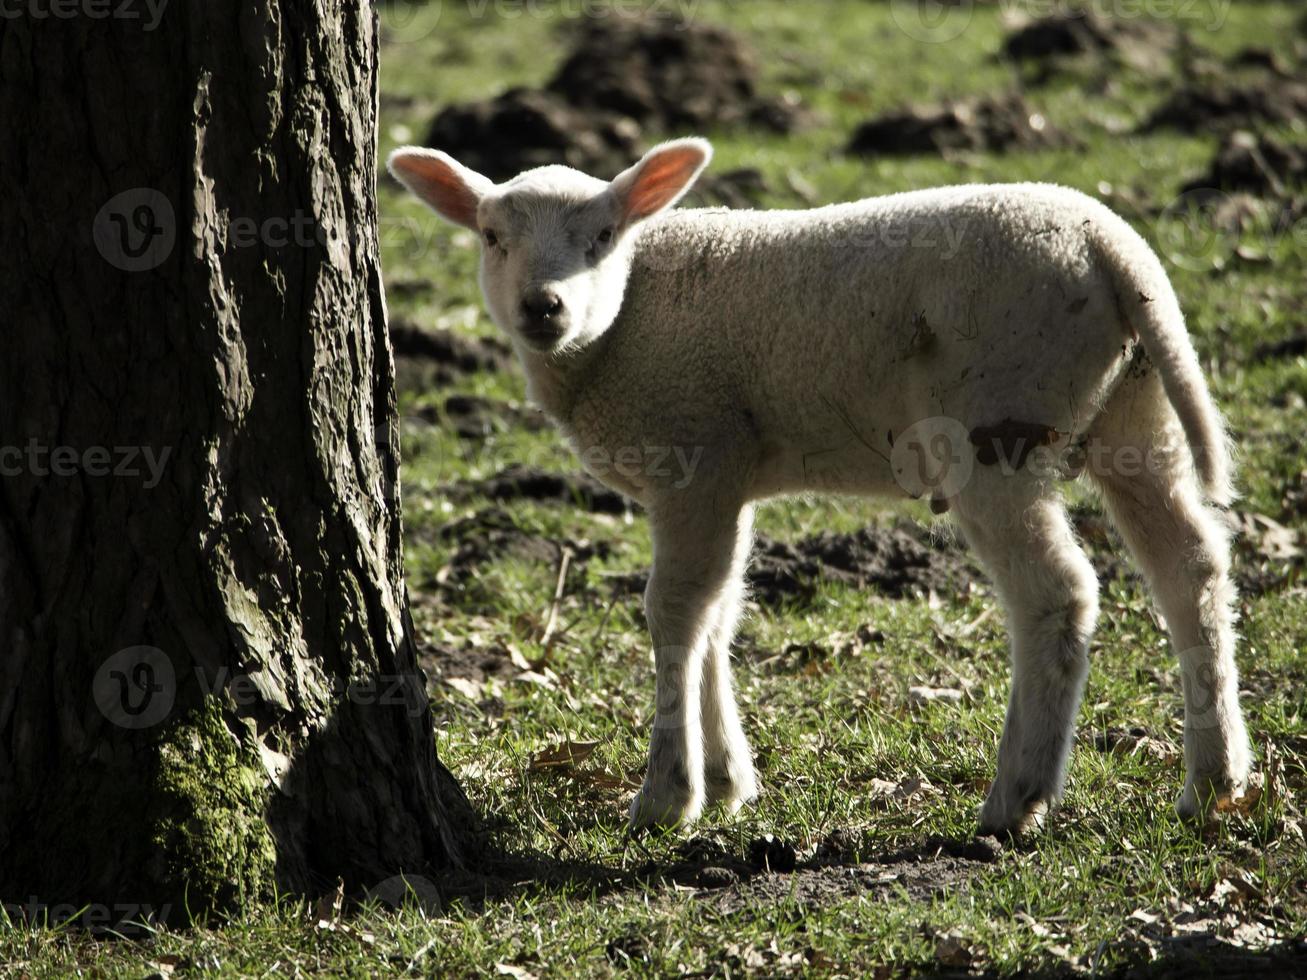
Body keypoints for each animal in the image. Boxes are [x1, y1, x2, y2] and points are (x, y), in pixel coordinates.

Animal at [389, 136, 1254, 836]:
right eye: (492, 237)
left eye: (603, 236)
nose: (543, 307)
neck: (618, 326)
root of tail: (1110, 245)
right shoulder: (726, 471)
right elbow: (719, 611)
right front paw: (729, 780)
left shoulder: (693, 452)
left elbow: (676, 612)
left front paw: (669, 795)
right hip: (1134, 410)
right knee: (1190, 569)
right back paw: (1213, 780)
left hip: (997, 420)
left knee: (1058, 594)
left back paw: (1016, 799)